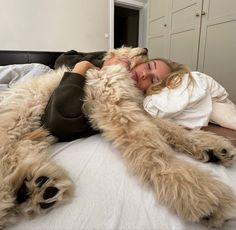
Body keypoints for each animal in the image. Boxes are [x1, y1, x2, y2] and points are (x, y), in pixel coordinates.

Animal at [0, 47, 236, 228]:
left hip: (36, 131)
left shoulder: (134, 108)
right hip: (21, 115)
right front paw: (196, 193)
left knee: (22, 149)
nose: (145, 48)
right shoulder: (116, 105)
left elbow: (171, 128)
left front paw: (212, 147)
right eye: (126, 46)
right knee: (6, 150)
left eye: (153, 75)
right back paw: (20, 194)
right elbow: (152, 149)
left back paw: (35, 186)